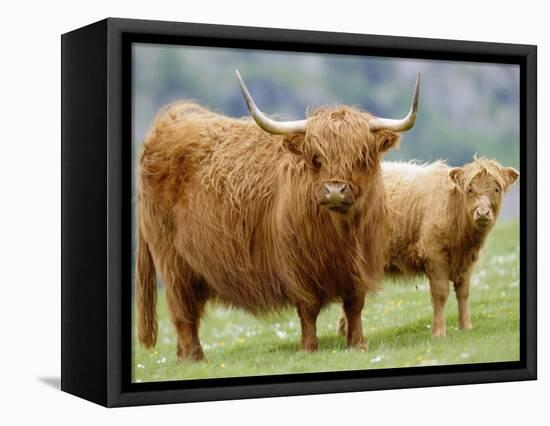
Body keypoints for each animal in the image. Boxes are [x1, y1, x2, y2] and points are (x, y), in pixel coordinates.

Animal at [138, 70, 422, 360]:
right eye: (316, 158)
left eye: (361, 157)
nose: (334, 190)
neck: (340, 234)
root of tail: (167, 124)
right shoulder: (297, 264)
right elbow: (308, 308)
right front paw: (309, 348)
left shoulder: (361, 264)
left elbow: (355, 305)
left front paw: (358, 344)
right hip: (173, 262)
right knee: (183, 311)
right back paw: (195, 357)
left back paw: (183, 356)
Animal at [338, 156, 520, 336]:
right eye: (469, 189)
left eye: (497, 189)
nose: (482, 213)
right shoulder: (434, 255)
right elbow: (440, 293)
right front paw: (439, 331)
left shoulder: (467, 261)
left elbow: (463, 293)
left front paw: (466, 326)